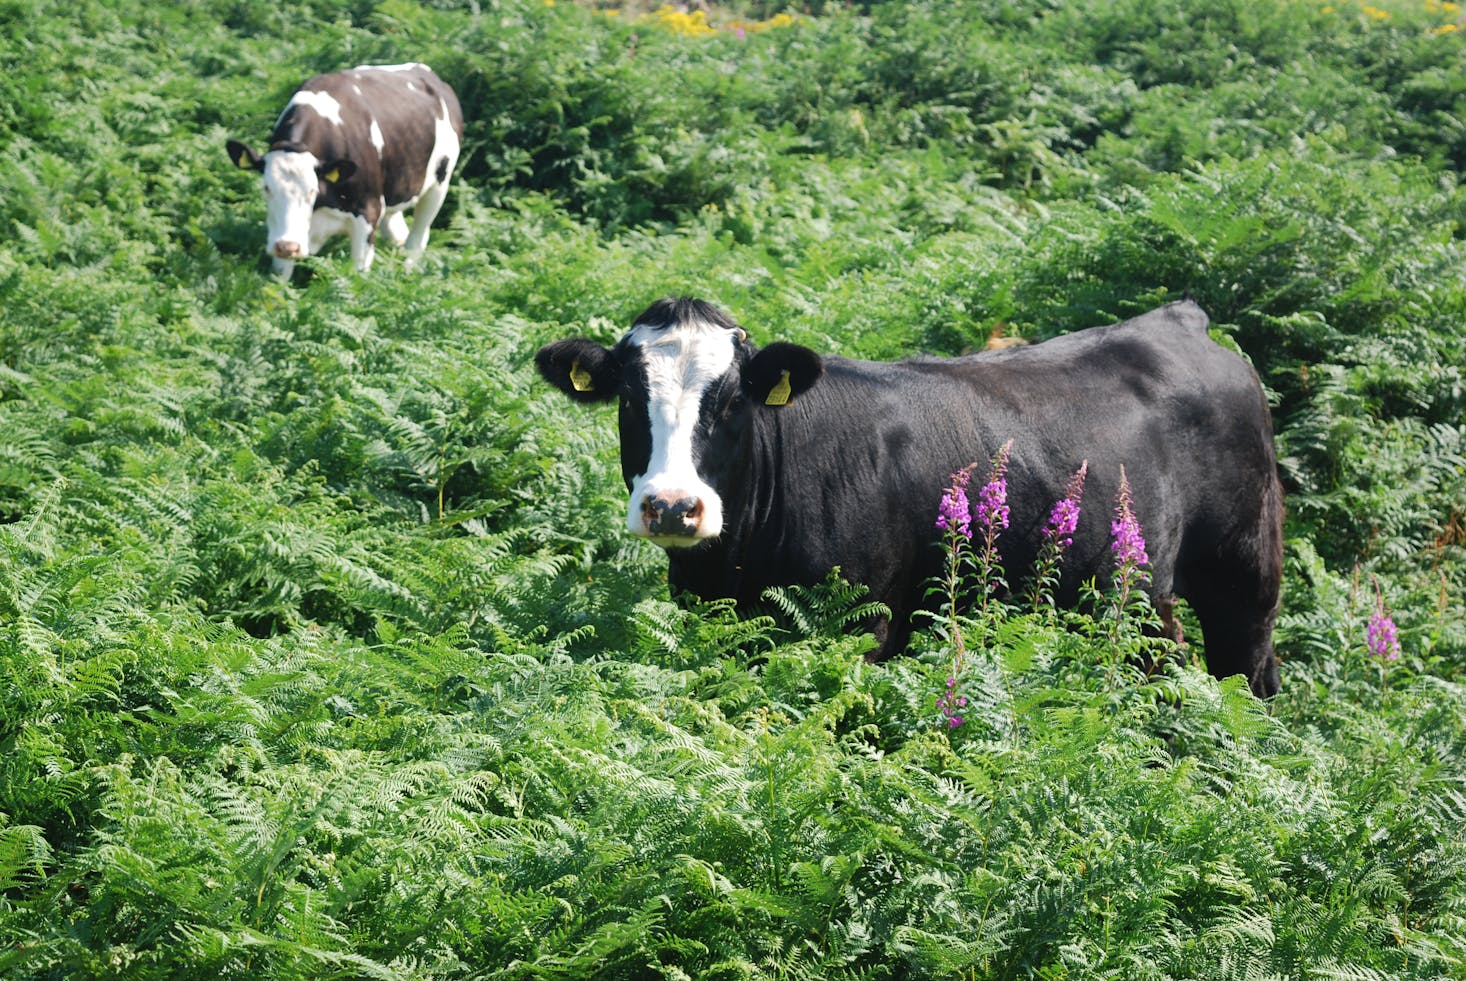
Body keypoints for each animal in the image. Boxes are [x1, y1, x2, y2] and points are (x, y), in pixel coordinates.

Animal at [225, 62, 463, 278]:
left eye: (312, 191)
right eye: (267, 188)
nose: (287, 246)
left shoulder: (368, 212)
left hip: (439, 184)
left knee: (418, 238)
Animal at [539, 296, 1284, 695]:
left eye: (730, 402)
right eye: (628, 399)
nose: (672, 504)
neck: (739, 566)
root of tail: (1177, 320)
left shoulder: (860, 623)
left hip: (1245, 570)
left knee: (1249, 672)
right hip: (1140, 589)